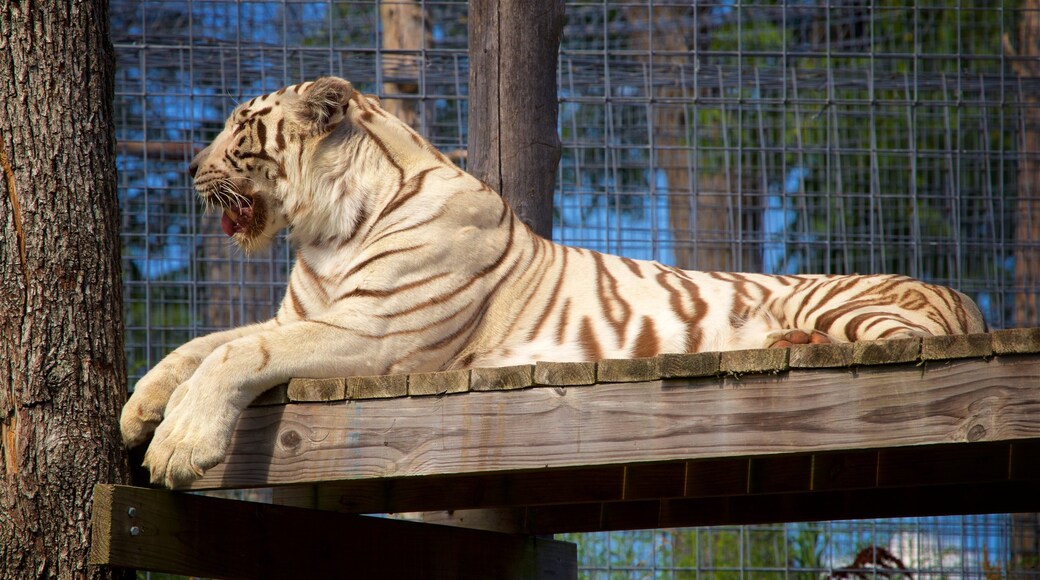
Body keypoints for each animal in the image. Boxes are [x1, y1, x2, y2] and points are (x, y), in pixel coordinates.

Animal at [119, 74, 981, 488]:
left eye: (239, 127)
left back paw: (787, 338)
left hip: (854, 308)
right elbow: (200, 344)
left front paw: (178, 448)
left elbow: (236, 355)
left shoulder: (375, 335)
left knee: (883, 343)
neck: (325, 233)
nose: (189, 169)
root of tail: (964, 295)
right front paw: (138, 410)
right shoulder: (301, 314)